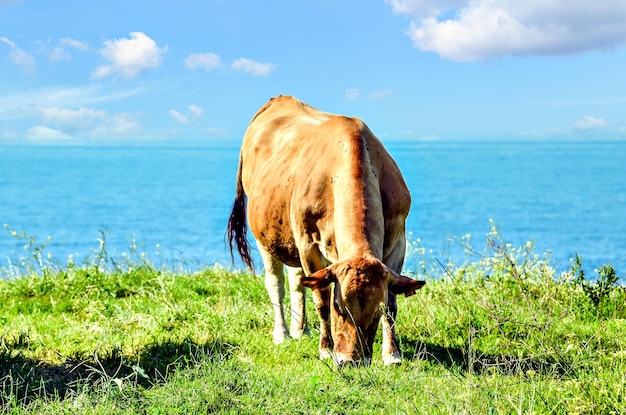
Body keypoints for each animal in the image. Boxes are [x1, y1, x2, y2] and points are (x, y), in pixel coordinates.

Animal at [225, 96, 424, 366]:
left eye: (376, 311)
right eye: (338, 306)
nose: (351, 361)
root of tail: (279, 99)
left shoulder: (398, 240)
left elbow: (393, 303)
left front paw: (392, 354)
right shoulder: (308, 244)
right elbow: (320, 298)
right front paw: (326, 350)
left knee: (297, 281)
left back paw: (301, 330)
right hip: (265, 237)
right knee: (276, 283)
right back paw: (283, 333)